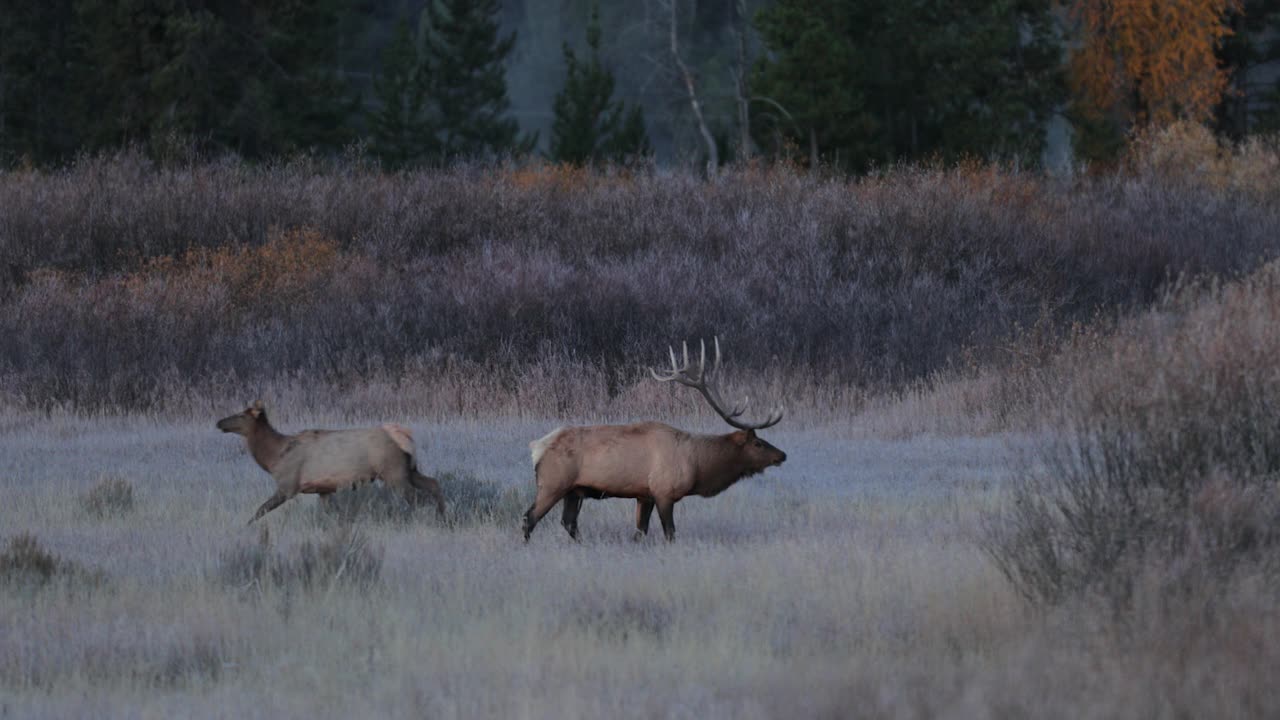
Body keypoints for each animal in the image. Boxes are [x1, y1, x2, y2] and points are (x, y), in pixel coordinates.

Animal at [215, 397, 445, 520]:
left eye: (241, 415)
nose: (219, 422)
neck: (274, 457)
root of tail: (403, 435)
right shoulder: (323, 490)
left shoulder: (287, 485)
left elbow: (259, 511)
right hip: (409, 469)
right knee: (433, 483)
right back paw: (442, 515)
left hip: (393, 471)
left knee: (416, 496)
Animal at [522, 335, 783, 538]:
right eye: (758, 443)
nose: (782, 455)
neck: (698, 465)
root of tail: (537, 447)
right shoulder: (664, 491)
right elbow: (670, 533)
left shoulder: (643, 495)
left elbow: (640, 532)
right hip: (552, 483)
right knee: (529, 518)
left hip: (574, 491)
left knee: (569, 522)